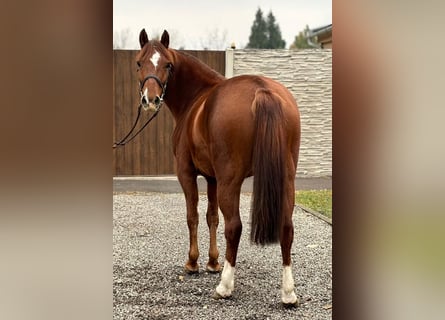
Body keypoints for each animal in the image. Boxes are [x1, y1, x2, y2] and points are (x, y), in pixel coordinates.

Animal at [135, 29, 300, 304]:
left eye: (167, 64)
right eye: (139, 63)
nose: (151, 98)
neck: (196, 98)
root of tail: (262, 90)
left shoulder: (187, 173)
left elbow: (192, 216)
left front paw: (193, 263)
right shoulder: (212, 178)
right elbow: (211, 216)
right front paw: (212, 262)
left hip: (230, 181)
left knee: (234, 227)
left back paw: (225, 286)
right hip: (286, 178)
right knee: (286, 227)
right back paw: (288, 293)